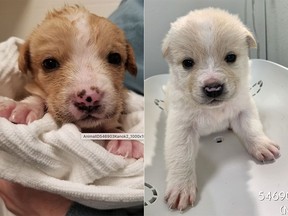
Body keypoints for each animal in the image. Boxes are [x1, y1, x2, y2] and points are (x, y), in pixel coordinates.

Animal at [0, 5, 143, 159]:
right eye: (49, 63)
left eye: (115, 58)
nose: (89, 98)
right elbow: (38, 97)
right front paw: (23, 106)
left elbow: (110, 124)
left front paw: (123, 138)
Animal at [162, 8, 280, 211]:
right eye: (187, 63)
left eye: (231, 57)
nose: (213, 88)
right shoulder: (181, 126)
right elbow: (181, 155)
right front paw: (181, 188)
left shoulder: (243, 109)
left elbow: (252, 128)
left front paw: (262, 145)